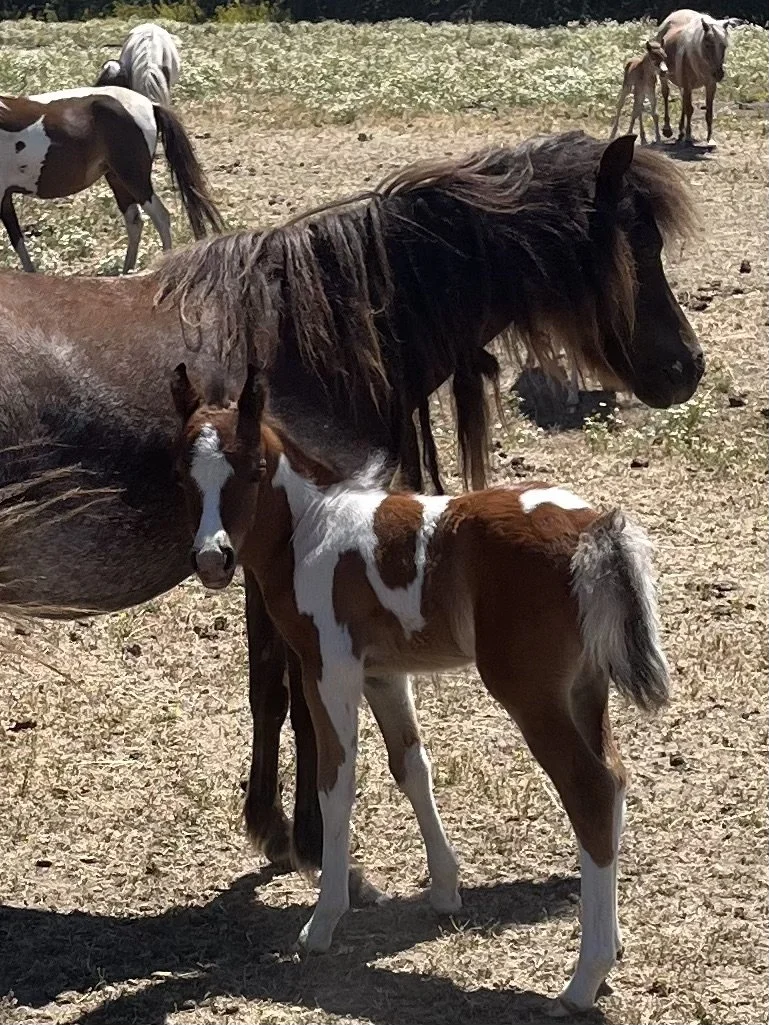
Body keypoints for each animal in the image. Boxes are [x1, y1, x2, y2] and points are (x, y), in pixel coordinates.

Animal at [0, 86, 222, 273]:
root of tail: (150, 105)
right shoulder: (5, 198)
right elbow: (17, 239)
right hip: (117, 180)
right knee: (135, 222)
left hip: (134, 179)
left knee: (161, 217)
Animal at [0, 132, 702, 884]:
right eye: (639, 242)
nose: (687, 366)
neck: (310, 336)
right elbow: (299, 703)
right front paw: (307, 837)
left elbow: (271, 690)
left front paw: (275, 826)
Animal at [170, 358, 670, 1015]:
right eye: (185, 473)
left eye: (251, 469)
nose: (213, 560)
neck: (311, 531)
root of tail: (592, 528)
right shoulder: (385, 674)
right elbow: (411, 765)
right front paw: (445, 889)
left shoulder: (330, 670)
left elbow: (336, 782)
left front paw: (323, 921)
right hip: (586, 688)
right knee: (614, 779)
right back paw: (608, 951)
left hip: (529, 691)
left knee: (588, 789)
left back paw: (583, 980)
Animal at [655, 9, 739, 143]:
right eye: (707, 45)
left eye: (724, 46)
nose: (719, 74)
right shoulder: (687, 84)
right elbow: (690, 109)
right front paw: (689, 136)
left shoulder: (710, 85)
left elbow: (708, 111)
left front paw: (710, 138)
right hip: (664, 76)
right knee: (666, 94)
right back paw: (668, 130)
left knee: (683, 100)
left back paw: (681, 132)